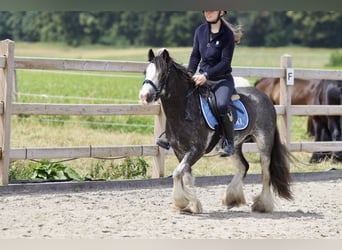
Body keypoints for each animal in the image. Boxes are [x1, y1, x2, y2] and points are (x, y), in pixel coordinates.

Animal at [138, 48, 292, 213]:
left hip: (264, 141)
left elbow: (177, 173)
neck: (184, 110)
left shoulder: (196, 151)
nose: (144, 96)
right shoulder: (180, 152)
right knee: (243, 166)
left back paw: (262, 205)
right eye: (145, 72)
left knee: (266, 171)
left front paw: (181, 202)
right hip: (235, 145)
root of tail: (264, 97)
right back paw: (231, 199)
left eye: (162, 74)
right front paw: (193, 204)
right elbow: (186, 176)